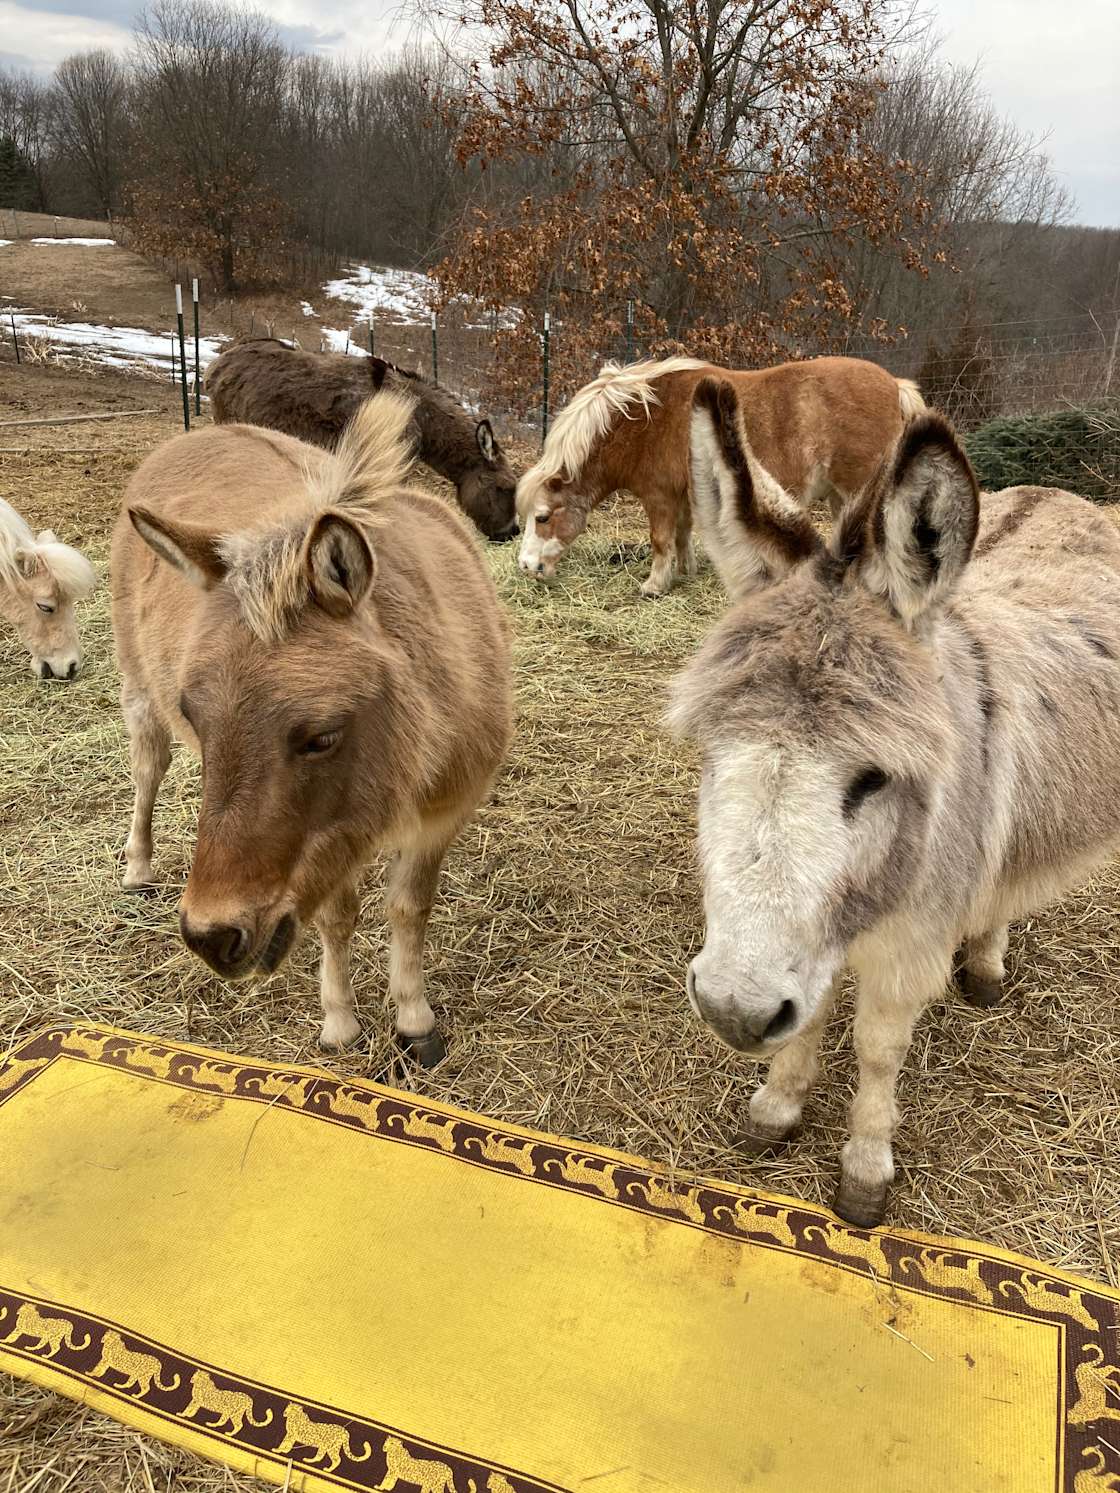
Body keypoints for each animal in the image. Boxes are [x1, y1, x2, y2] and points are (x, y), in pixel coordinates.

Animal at [110, 395, 512, 1064]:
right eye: (194, 714)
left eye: (321, 737)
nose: (210, 936)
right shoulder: (333, 840)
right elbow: (336, 915)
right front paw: (341, 1023)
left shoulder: (441, 815)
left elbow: (409, 909)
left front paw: (415, 1022)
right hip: (139, 690)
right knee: (148, 769)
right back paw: (137, 869)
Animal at [517, 355, 926, 596]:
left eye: (543, 517)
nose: (526, 567)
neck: (643, 420)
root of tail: (895, 385)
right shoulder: (681, 495)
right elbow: (682, 535)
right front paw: (686, 571)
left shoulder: (659, 497)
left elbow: (661, 540)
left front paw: (654, 585)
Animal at [668, 375, 1120, 1226]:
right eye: (711, 750)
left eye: (874, 778)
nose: (734, 1012)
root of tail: (1055, 491)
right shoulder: (804, 952)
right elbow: (807, 1023)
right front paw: (776, 1108)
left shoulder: (910, 943)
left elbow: (879, 1049)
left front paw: (865, 1168)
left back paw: (985, 965)